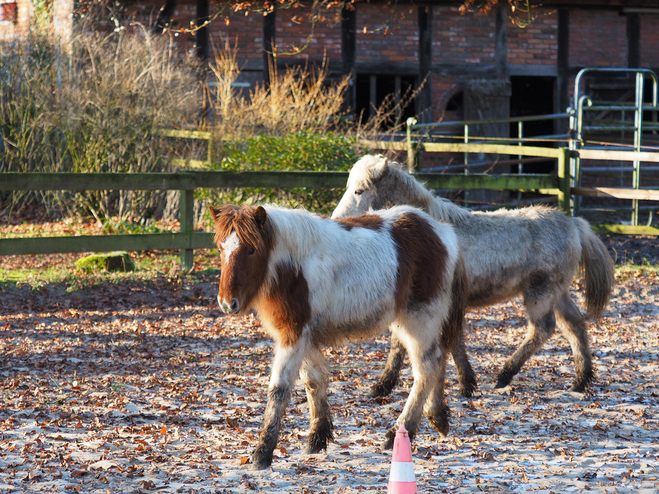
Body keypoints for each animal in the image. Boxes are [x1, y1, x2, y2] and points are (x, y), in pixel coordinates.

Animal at [210, 203, 470, 468]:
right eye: (220, 248)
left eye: (251, 250)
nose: (227, 303)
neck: (293, 267)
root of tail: (441, 232)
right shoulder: (306, 337)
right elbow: (313, 381)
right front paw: (317, 439)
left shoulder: (293, 334)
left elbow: (278, 389)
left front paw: (262, 453)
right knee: (439, 359)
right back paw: (437, 418)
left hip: (418, 321)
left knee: (427, 369)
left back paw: (397, 432)